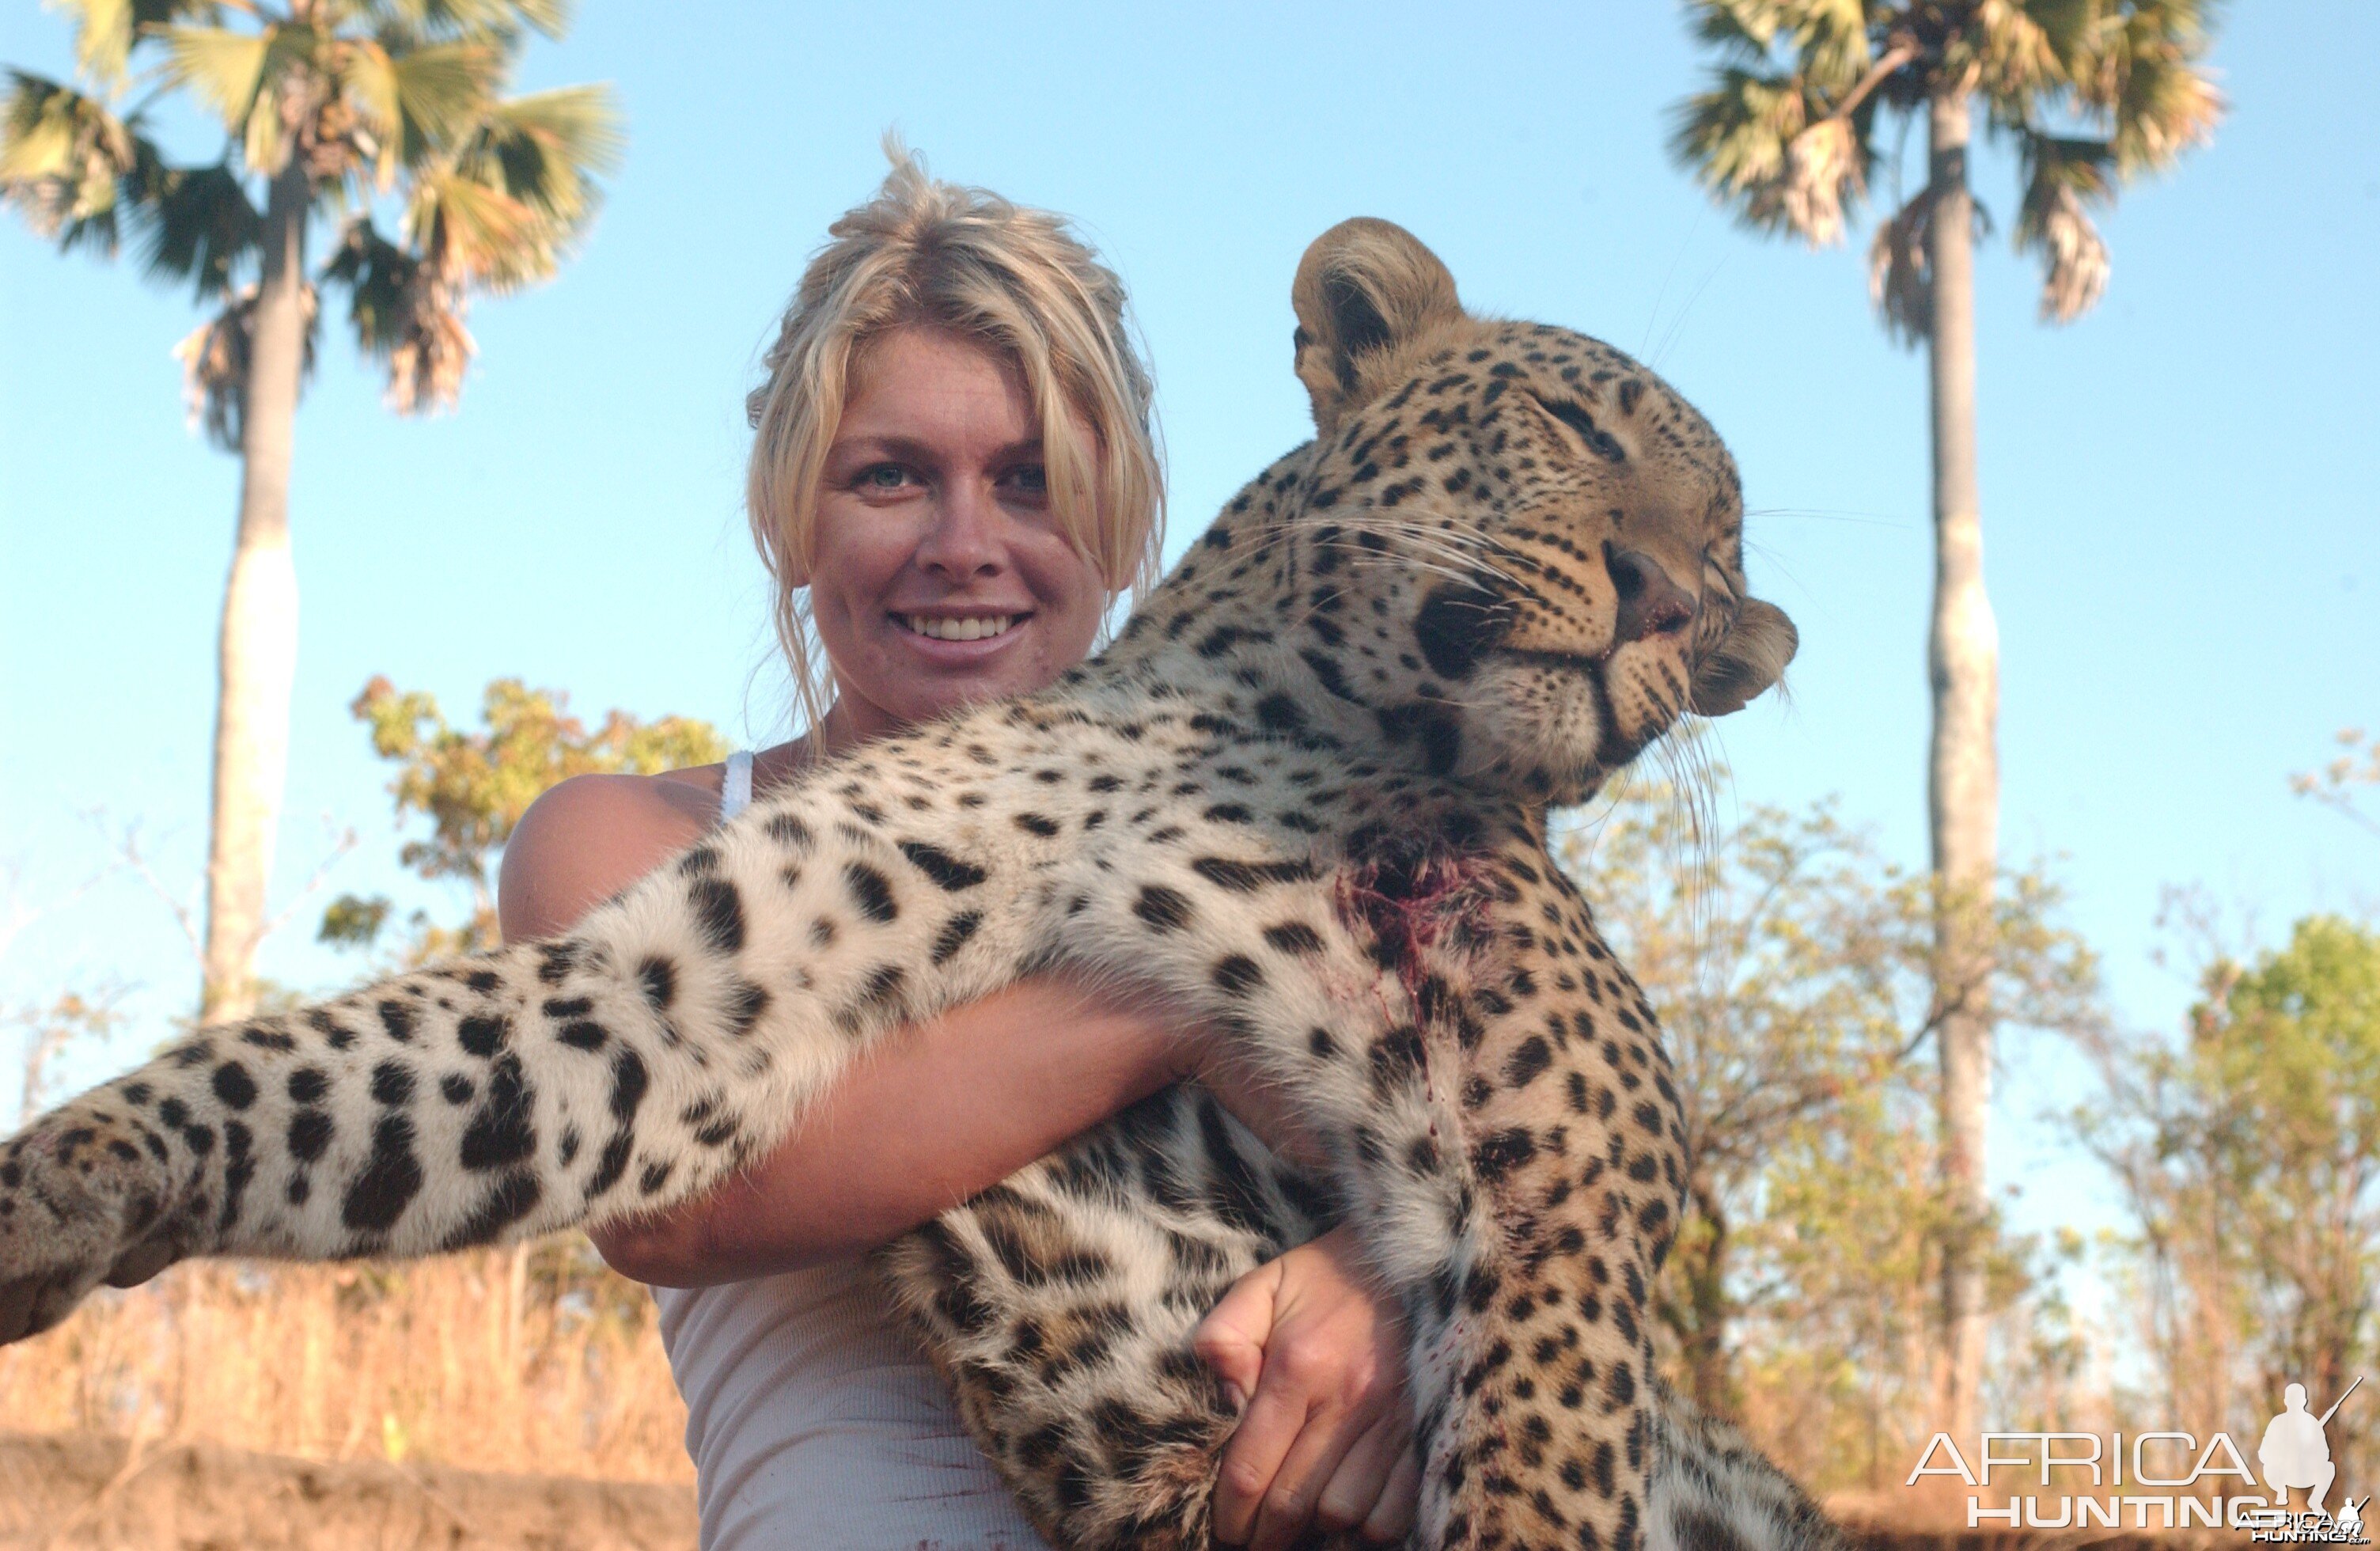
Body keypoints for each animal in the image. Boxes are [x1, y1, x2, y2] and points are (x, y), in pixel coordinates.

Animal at [0, 221, 1828, 1551]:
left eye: (1726, 549)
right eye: (1575, 428)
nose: (1679, 608)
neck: (1249, 716)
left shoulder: (1573, 1173)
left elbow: (1533, 1479)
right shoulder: (706, 984)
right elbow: (356, 1074)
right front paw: (65, 1176)